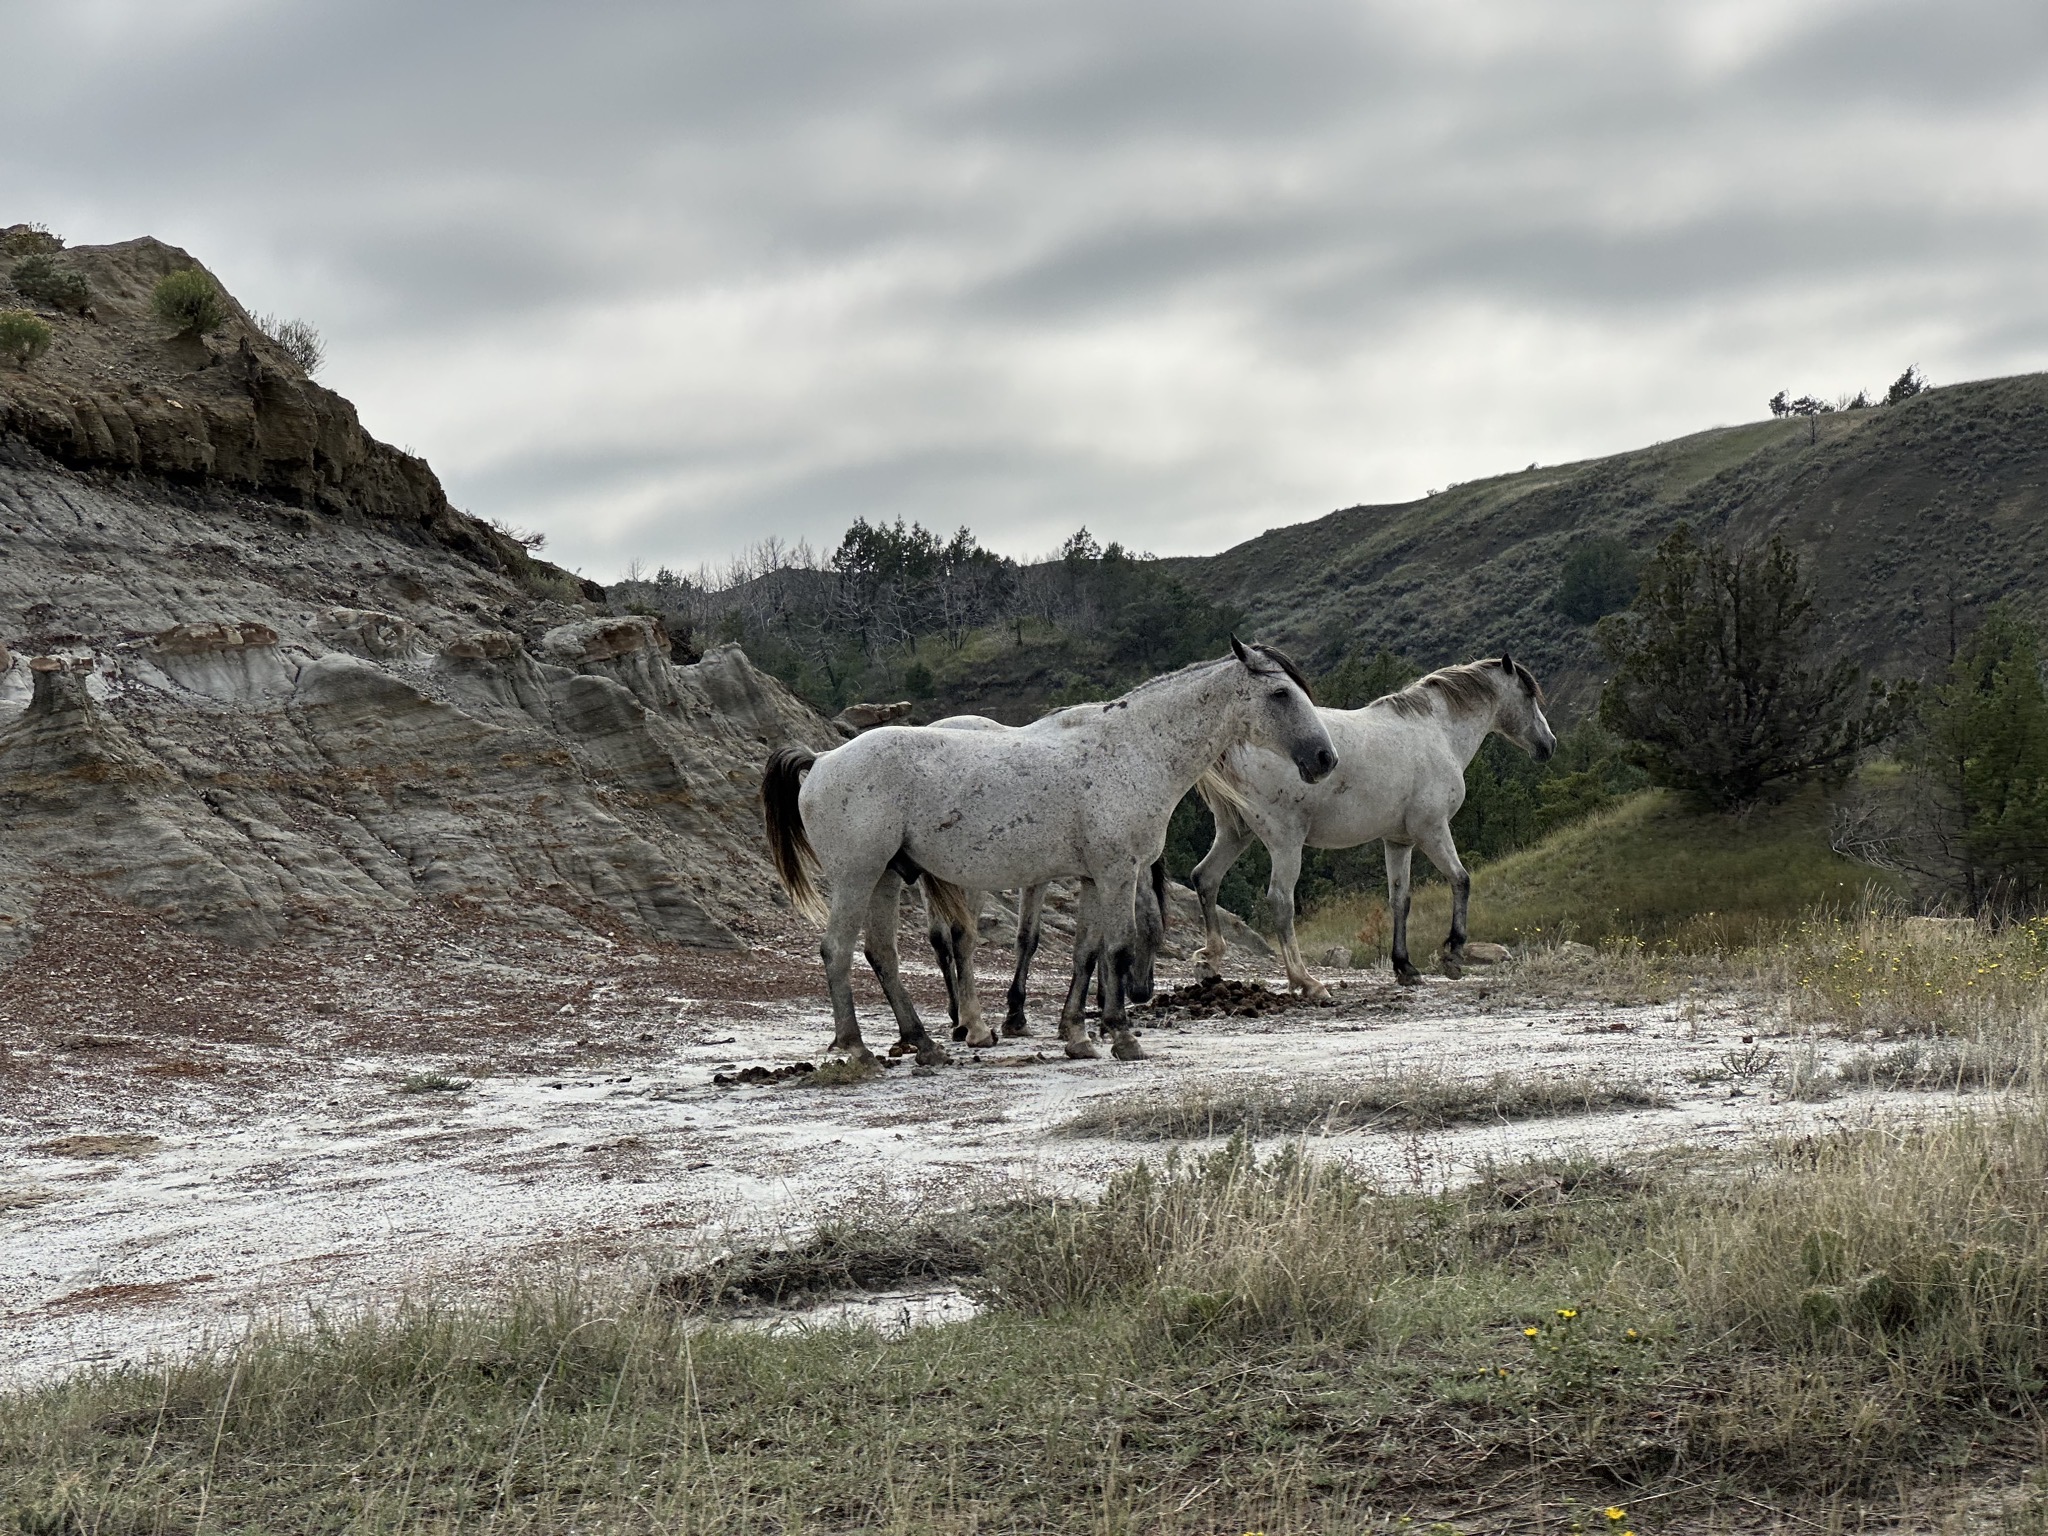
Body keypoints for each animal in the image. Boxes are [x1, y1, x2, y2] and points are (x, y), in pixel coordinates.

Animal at [762, 640, 1336, 1063]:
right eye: (1281, 694)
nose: (1325, 759)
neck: (1133, 751)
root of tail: (823, 759)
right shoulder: (1117, 873)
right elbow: (1116, 949)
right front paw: (1122, 1035)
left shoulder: (1091, 878)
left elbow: (1086, 953)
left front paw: (1079, 1036)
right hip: (857, 878)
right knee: (838, 950)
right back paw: (859, 1048)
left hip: (884, 877)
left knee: (883, 954)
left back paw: (925, 1044)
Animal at [1191, 654, 1555, 995]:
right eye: (1528, 694)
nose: (1548, 745)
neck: (1436, 731)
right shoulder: (1432, 830)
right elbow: (1461, 880)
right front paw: (1453, 955)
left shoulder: (1399, 841)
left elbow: (1400, 900)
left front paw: (1405, 966)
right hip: (1285, 841)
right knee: (1281, 901)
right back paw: (1304, 980)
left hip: (1236, 833)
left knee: (1205, 877)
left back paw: (1209, 960)